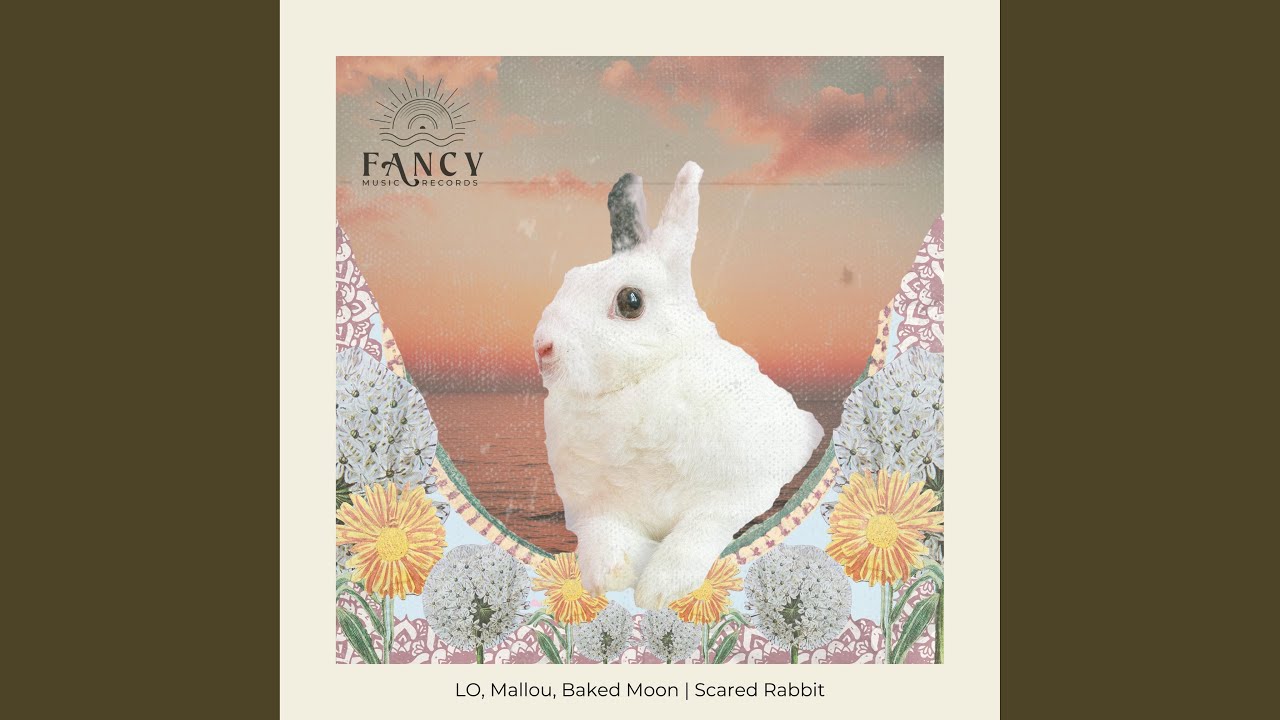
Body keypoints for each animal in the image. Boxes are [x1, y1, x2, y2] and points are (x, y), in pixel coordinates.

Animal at [534, 161, 823, 609]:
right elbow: (603, 538)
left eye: (630, 301)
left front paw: (660, 589)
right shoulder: (592, 509)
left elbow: (695, 533)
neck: (643, 380)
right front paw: (610, 574)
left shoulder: (734, 493)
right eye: (570, 278)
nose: (543, 348)